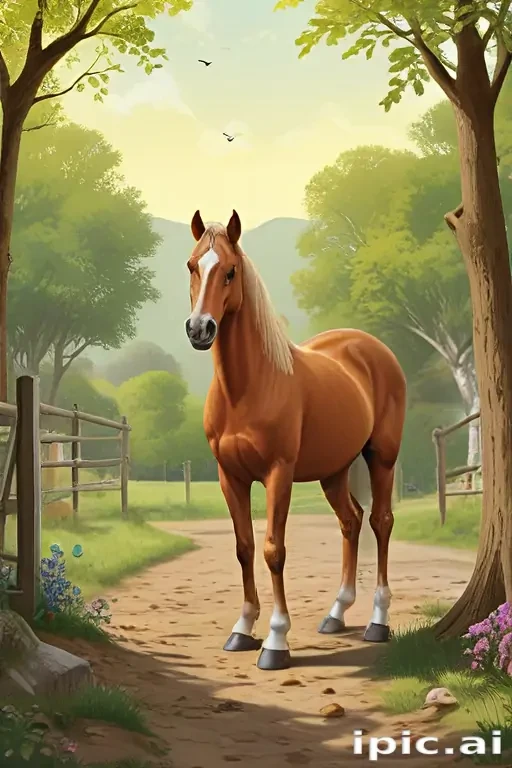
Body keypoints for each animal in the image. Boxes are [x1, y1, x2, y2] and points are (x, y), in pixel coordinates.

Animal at [184, 209, 407, 671]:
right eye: (192, 266)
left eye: (230, 271)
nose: (200, 329)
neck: (248, 388)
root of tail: (372, 349)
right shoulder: (230, 477)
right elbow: (245, 547)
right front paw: (242, 629)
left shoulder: (278, 474)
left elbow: (274, 549)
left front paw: (275, 641)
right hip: (333, 471)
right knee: (351, 521)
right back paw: (336, 613)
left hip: (382, 458)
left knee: (380, 522)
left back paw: (378, 621)